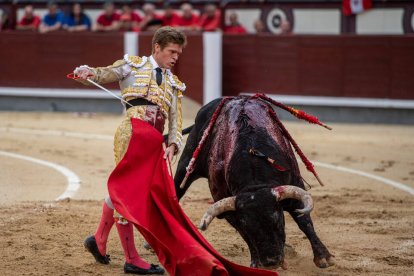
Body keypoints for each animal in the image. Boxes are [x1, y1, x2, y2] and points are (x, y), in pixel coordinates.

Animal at [171, 96, 334, 270]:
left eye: (278, 219)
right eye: (247, 225)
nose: (271, 262)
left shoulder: (295, 186)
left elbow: (304, 222)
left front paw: (323, 257)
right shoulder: (227, 207)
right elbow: (244, 236)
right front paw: (256, 262)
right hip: (186, 163)